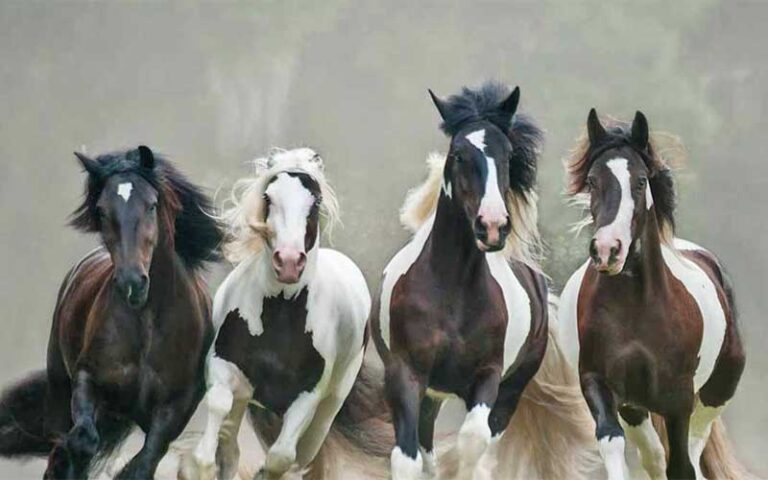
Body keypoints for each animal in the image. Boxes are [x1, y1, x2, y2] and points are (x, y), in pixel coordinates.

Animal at [0, 146, 222, 480]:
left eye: (152, 205)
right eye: (102, 210)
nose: (132, 283)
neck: (147, 324)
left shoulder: (175, 407)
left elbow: (143, 463)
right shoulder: (87, 378)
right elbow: (81, 441)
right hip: (61, 392)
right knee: (60, 449)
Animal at [189, 149, 388, 480]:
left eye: (315, 201)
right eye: (268, 197)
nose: (290, 262)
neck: (280, 314)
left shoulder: (307, 397)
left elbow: (281, 458)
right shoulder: (224, 366)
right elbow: (218, 409)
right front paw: (199, 465)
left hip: (328, 408)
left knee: (305, 455)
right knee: (231, 448)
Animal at [372, 82, 600, 480]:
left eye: (507, 155)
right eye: (459, 154)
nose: (492, 226)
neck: (453, 290)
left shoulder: (487, 377)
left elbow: (472, 444)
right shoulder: (406, 374)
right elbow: (407, 457)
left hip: (510, 391)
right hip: (432, 393)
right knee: (426, 447)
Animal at [560, 109, 752, 480]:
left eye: (639, 181)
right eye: (591, 181)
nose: (607, 250)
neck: (637, 309)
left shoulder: (678, 399)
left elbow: (682, 467)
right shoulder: (599, 384)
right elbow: (613, 442)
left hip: (713, 397)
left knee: (689, 453)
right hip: (635, 408)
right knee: (653, 456)